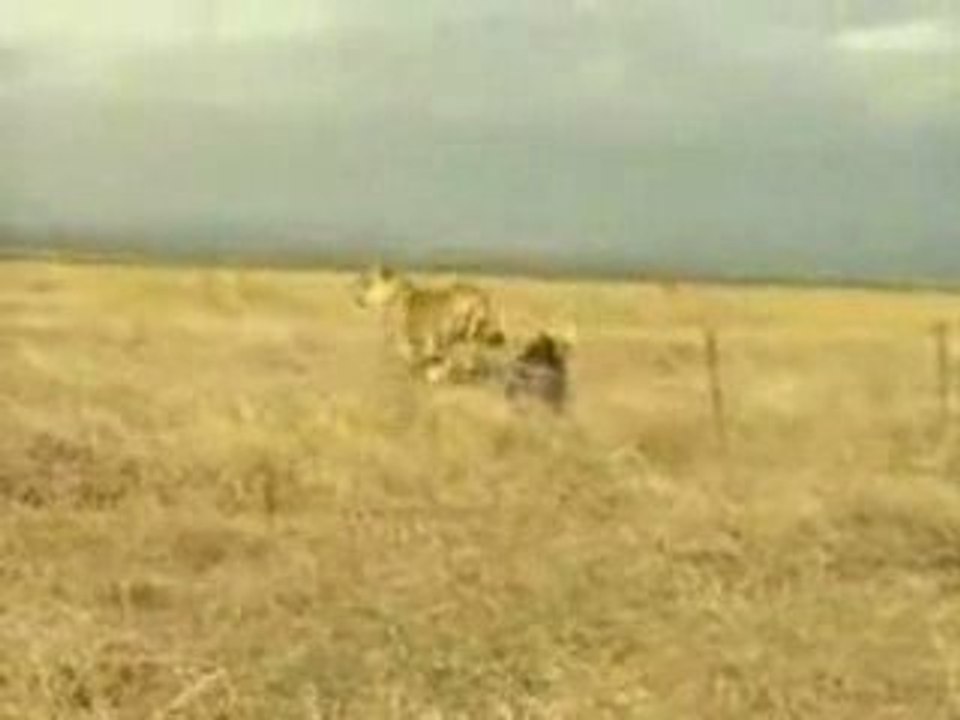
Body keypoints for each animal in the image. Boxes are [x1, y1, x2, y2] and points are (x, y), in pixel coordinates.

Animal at [352, 265, 506, 382]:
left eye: (367, 283)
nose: (357, 299)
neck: (393, 294)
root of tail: (479, 296)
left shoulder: (405, 339)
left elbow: (411, 356)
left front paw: (421, 369)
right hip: (468, 333)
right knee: (470, 354)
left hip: (451, 328)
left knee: (453, 356)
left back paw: (438, 373)